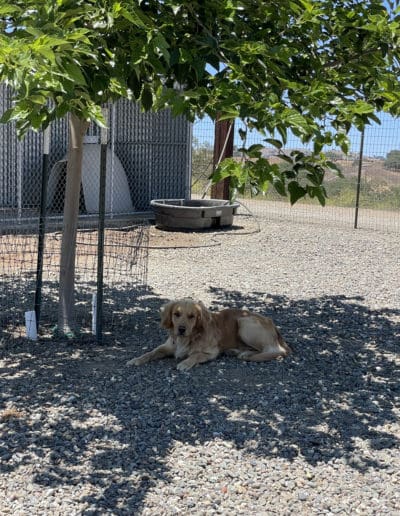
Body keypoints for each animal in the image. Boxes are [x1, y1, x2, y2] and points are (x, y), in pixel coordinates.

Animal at [126, 298, 290, 370]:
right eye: (176, 314)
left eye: (192, 316)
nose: (181, 329)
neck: (188, 338)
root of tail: (272, 323)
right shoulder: (167, 346)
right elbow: (151, 352)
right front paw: (136, 359)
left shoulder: (211, 352)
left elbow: (195, 355)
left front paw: (185, 363)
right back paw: (238, 352)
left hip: (245, 323)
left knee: (275, 351)